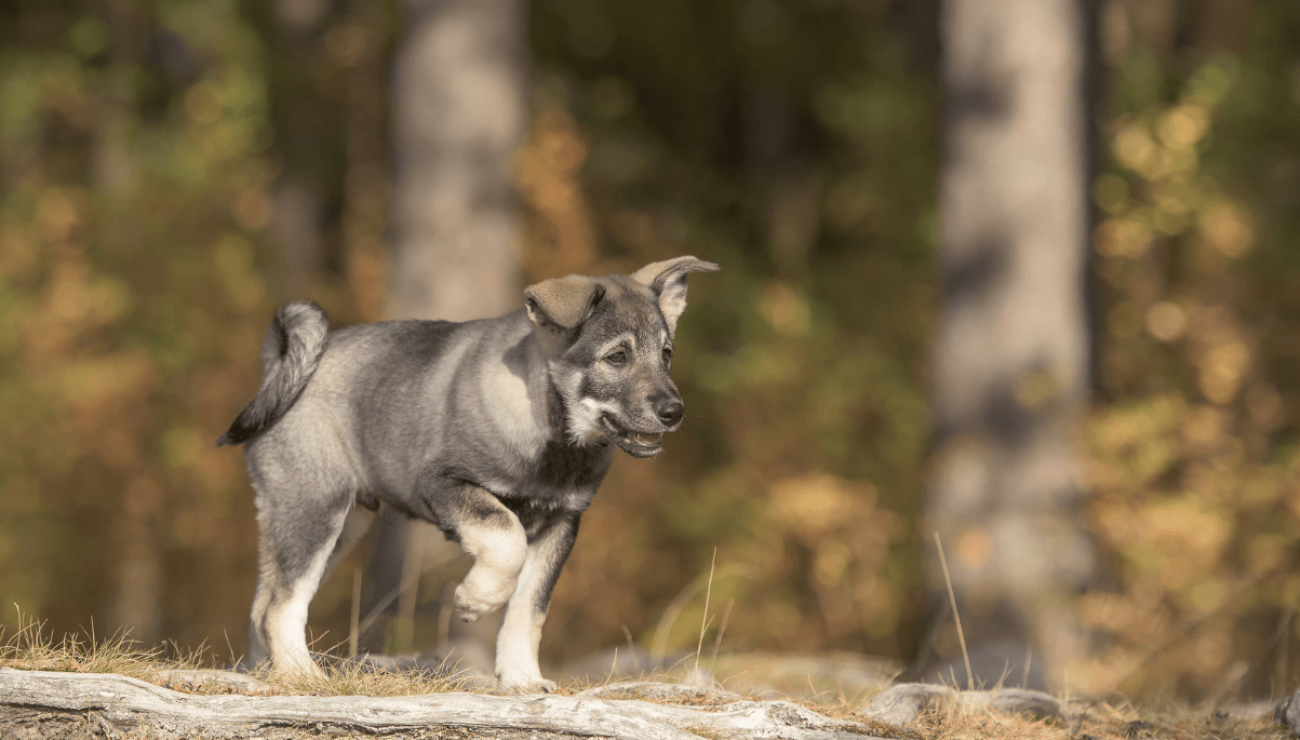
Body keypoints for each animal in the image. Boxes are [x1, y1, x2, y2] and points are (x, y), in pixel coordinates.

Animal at [218, 256, 717, 691]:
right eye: (616, 358)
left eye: (666, 354)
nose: (674, 412)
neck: (550, 433)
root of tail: (278, 368)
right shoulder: (445, 485)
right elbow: (505, 537)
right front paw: (474, 599)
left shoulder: (561, 523)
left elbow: (528, 610)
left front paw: (521, 679)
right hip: (315, 510)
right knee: (279, 605)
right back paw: (301, 676)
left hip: (330, 524)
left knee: (264, 603)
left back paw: (269, 674)